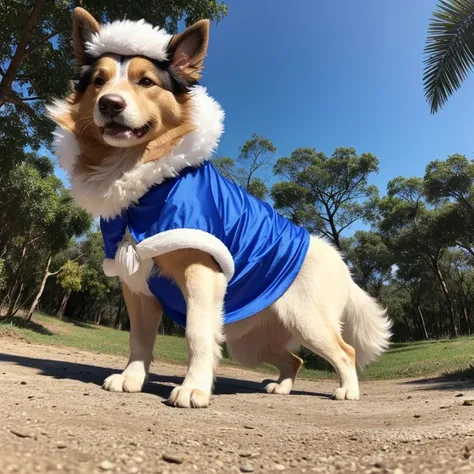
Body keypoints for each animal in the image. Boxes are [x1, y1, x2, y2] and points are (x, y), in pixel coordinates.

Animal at [47, 7, 392, 408]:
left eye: (146, 81)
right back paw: (281, 387)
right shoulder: (137, 284)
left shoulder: (202, 273)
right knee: (295, 359)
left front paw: (194, 388)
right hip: (252, 342)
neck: (144, 180)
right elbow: (139, 339)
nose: (110, 104)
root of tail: (339, 261)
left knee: (344, 351)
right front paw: (132, 378)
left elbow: (197, 335)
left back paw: (348, 391)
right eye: (98, 81)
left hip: (308, 320)